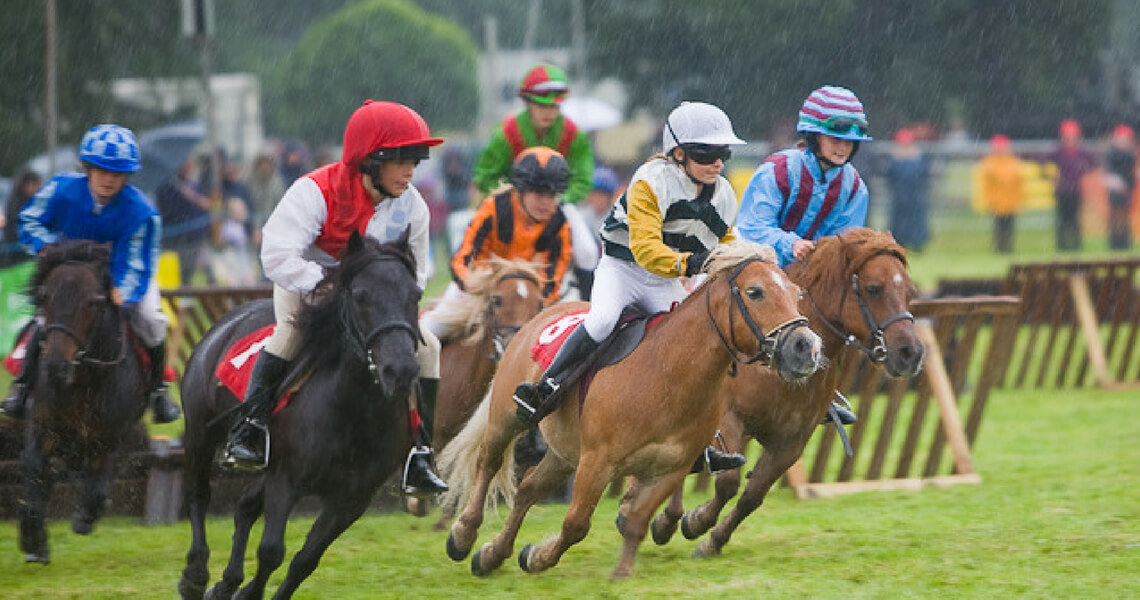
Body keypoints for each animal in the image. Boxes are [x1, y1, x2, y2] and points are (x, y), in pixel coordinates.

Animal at [16, 239, 151, 565]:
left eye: (92, 302)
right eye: (45, 296)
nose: (55, 365)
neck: (85, 380)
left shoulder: (113, 435)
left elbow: (98, 487)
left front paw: (84, 519)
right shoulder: (43, 425)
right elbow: (34, 469)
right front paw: (32, 538)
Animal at [440, 240, 825, 584]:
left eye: (796, 294)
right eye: (755, 292)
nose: (806, 348)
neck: (668, 375)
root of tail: (541, 315)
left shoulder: (671, 468)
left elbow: (637, 521)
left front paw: (619, 571)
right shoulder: (598, 461)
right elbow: (576, 523)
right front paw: (539, 556)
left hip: (565, 451)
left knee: (528, 488)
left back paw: (492, 555)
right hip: (506, 416)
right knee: (488, 461)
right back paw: (463, 535)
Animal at [652, 226, 925, 558]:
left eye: (909, 291)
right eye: (874, 288)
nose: (911, 353)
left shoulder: (791, 442)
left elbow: (752, 495)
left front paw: (713, 541)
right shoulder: (728, 419)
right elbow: (728, 482)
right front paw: (696, 520)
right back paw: (664, 519)